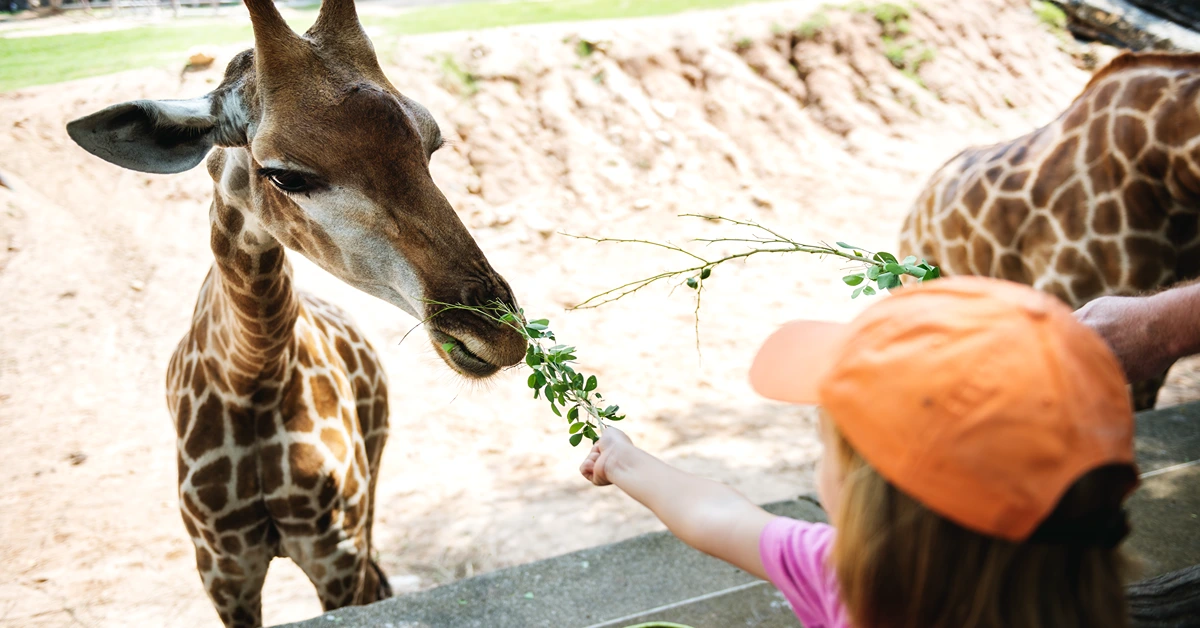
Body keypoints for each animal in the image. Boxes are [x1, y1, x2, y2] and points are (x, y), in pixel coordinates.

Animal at [59, 1, 520, 624]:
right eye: (285, 174)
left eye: (431, 145)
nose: (498, 334)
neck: (252, 373)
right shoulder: (223, 570)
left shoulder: (334, 550)